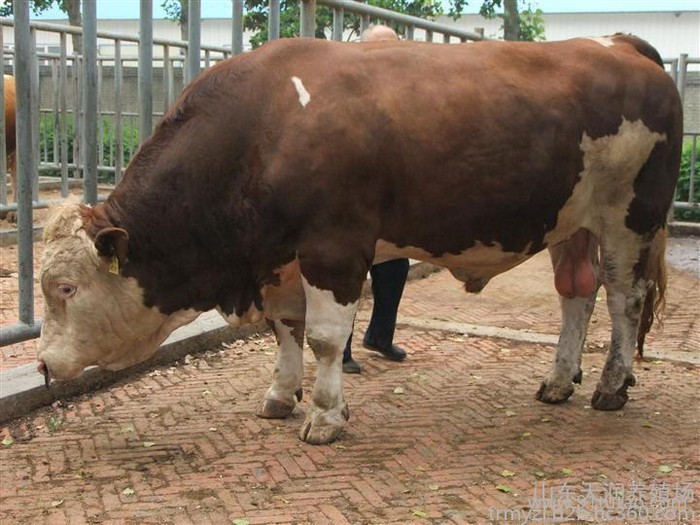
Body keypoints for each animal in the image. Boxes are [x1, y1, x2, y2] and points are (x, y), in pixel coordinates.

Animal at [37, 34, 680, 442]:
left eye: (66, 288)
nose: (42, 364)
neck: (263, 127)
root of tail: (620, 44)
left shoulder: (334, 247)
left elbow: (324, 338)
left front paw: (324, 416)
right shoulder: (280, 261)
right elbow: (286, 330)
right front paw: (281, 395)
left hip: (630, 218)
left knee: (624, 299)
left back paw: (611, 385)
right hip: (571, 223)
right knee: (579, 292)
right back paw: (558, 380)